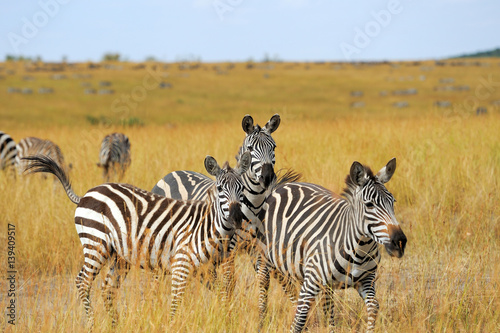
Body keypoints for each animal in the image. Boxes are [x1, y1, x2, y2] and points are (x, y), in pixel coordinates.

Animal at [23, 152, 250, 328]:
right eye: (220, 189)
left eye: (242, 189)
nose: (237, 217)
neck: (210, 227)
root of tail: (87, 194)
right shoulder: (181, 264)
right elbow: (177, 301)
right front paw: (173, 325)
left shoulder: (206, 269)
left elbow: (223, 292)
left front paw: (227, 319)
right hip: (96, 244)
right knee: (83, 281)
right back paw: (92, 324)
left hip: (119, 255)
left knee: (108, 289)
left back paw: (115, 325)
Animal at [150, 113, 284, 296]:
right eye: (250, 148)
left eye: (274, 147)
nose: (268, 177)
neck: (253, 204)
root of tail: (171, 173)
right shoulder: (229, 248)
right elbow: (229, 283)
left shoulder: (258, 248)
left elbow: (263, 281)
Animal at [258, 158, 406, 332]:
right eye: (369, 205)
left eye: (393, 202)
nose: (400, 241)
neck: (360, 249)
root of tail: (280, 186)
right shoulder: (311, 281)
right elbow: (299, 320)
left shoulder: (366, 281)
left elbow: (373, 307)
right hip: (265, 258)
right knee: (264, 287)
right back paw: (261, 322)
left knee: (326, 307)